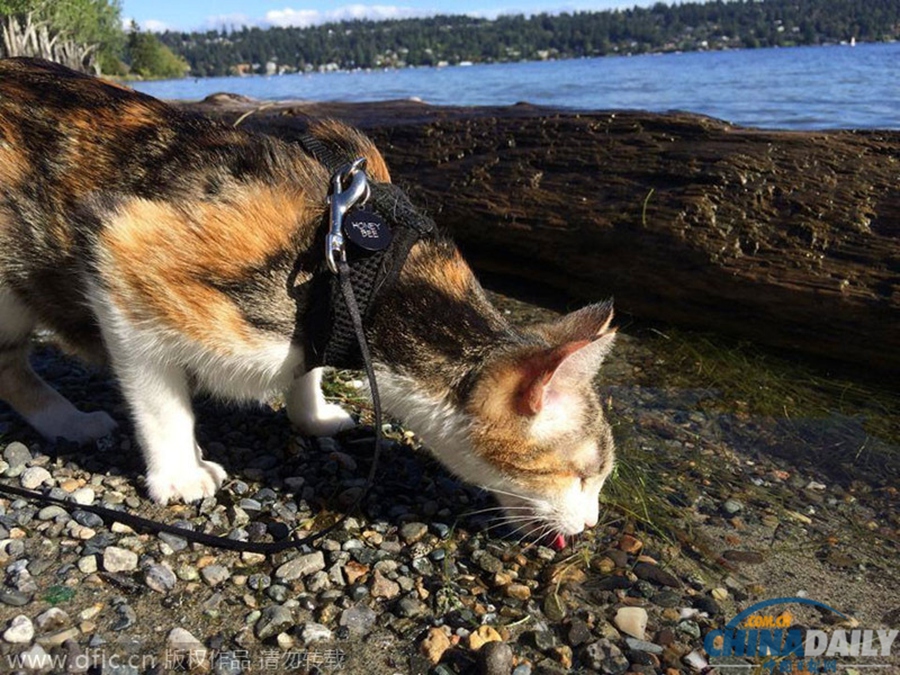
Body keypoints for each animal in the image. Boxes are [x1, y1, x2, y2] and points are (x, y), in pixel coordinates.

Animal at [0, 59, 616, 548]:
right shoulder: (123, 259)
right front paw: (178, 474)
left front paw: (313, 414)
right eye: (584, 474)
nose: (590, 524)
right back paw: (71, 421)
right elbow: (159, 399)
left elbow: (306, 366)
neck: (380, 288)